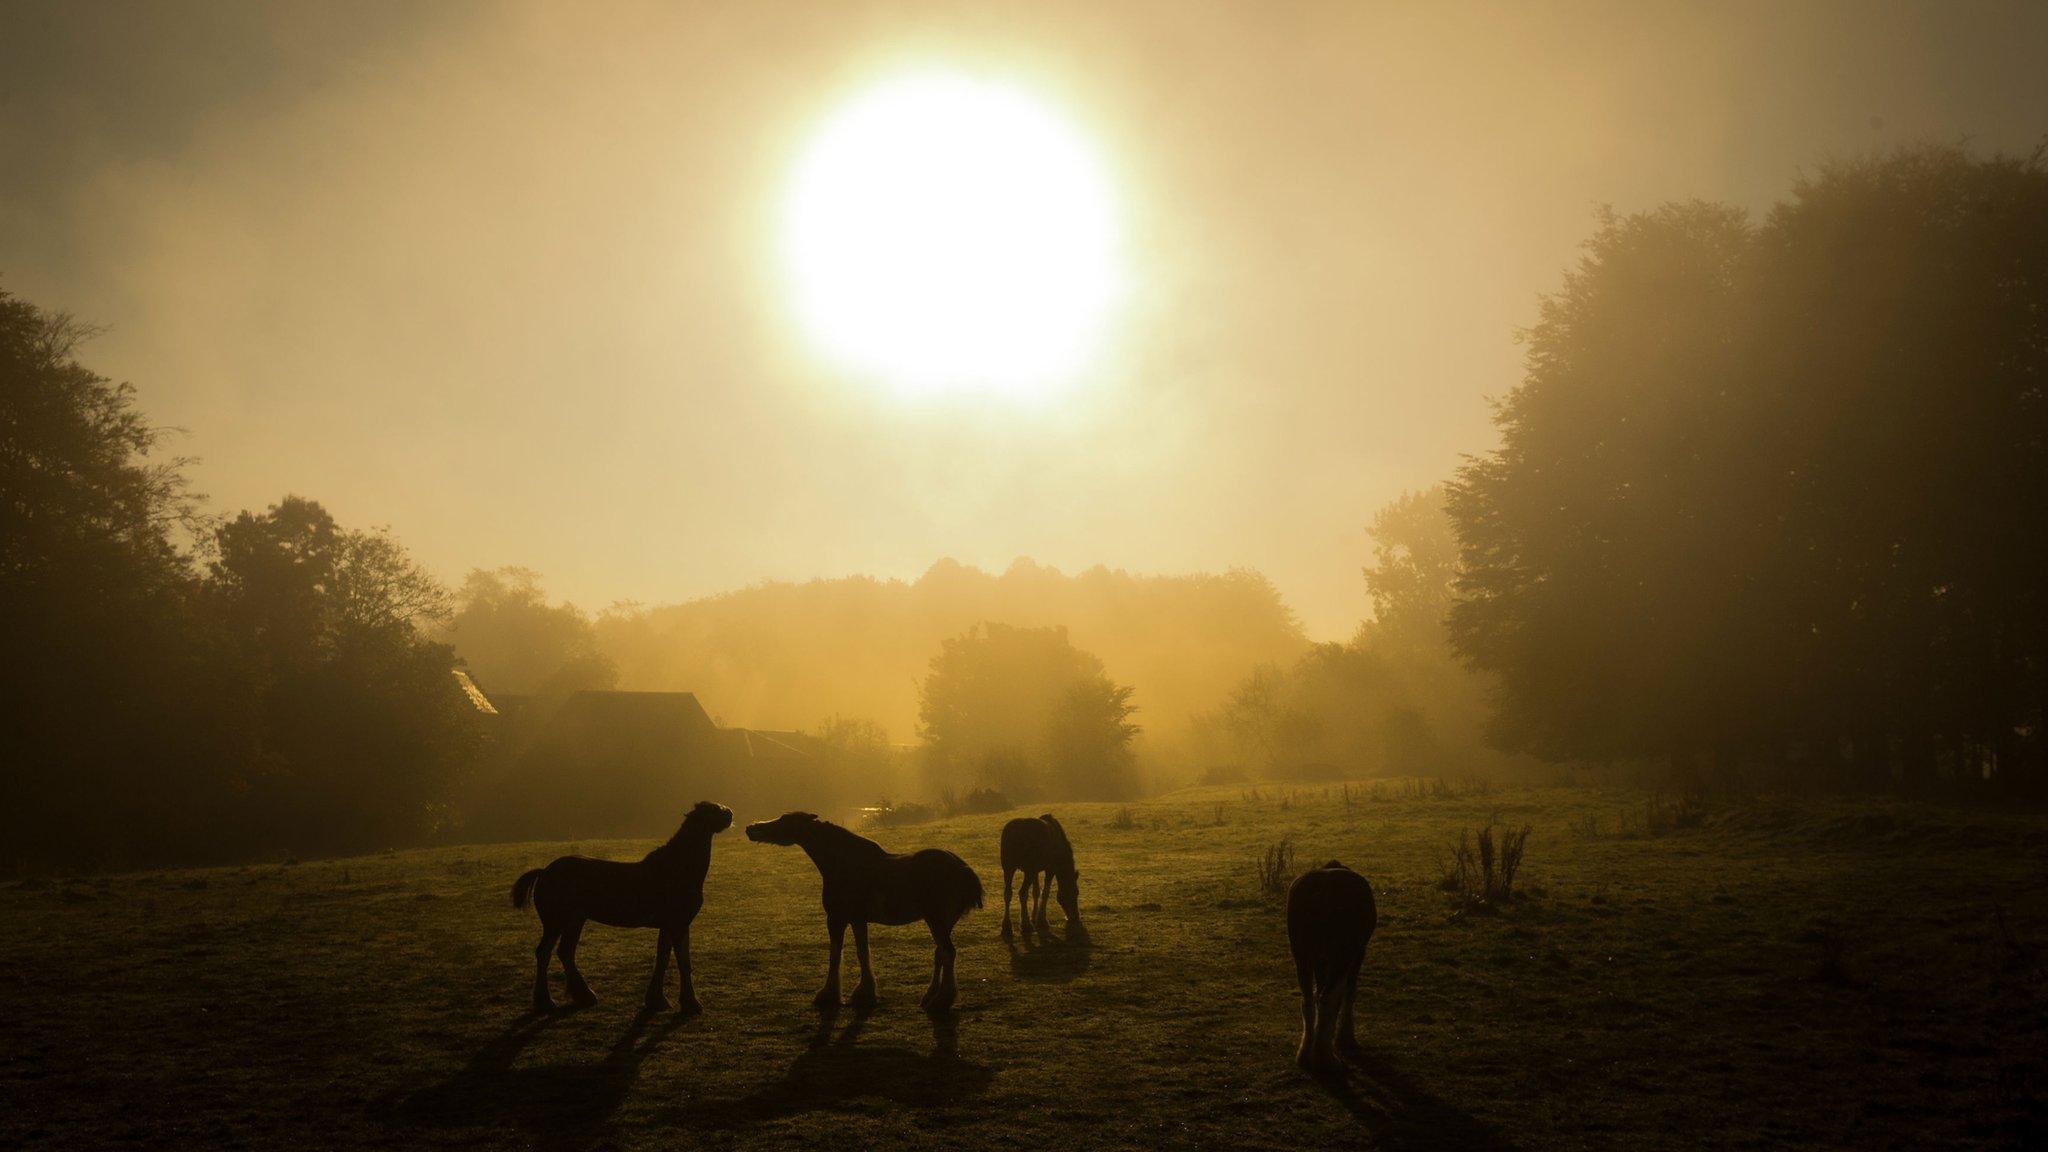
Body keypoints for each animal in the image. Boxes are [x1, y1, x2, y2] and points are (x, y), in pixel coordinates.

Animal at [512, 795, 737, 1008]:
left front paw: (657, 1000)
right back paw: (546, 1000)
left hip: (574, 921)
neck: (676, 868)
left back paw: (584, 996)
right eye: (712, 810)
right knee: (544, 953)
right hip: (556, 922)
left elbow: (663, 958)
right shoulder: (678, 924)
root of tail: (544, 871)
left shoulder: (670, 925)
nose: (730, 814)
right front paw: (691, 1003)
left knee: (564, 952)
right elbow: (683, 962)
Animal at [745, 811, 983, 1008]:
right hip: (942, 923)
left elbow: (835, 955)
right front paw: (864, 993)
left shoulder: (836, 918)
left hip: (937, 921)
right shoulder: (857, 920)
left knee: (948, 952)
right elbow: (862, 952)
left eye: (784, 820)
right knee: (940, 953)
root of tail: (963, 869)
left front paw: (828, 995)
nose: (751, 828)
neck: (844, 863)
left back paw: (942, 999)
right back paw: (931, 996)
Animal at [1286, 856, 1384, 1074]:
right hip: (1342, 954)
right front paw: (1345, 1038)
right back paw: (1327, 1059)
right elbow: (1348, 993)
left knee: (1309, 1000)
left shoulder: (1321, 960)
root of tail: (1323, 888)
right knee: (1326, 999)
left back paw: (1306, 1054)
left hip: (1302, 955)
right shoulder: (1356, 954)